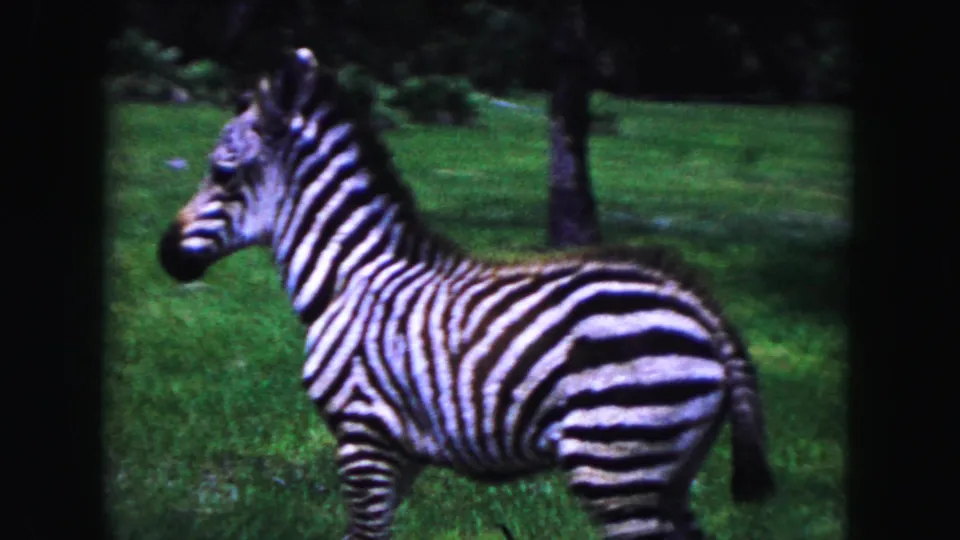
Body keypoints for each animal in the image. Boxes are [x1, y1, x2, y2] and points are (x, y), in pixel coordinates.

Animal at [157, 47, 775, 540]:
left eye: (222, 173)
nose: (164, 256)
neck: (347, 279)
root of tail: (700, 305)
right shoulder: (399, 452)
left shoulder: (362, 436)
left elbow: (362, 534)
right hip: (668, 473)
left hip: (616, 461)